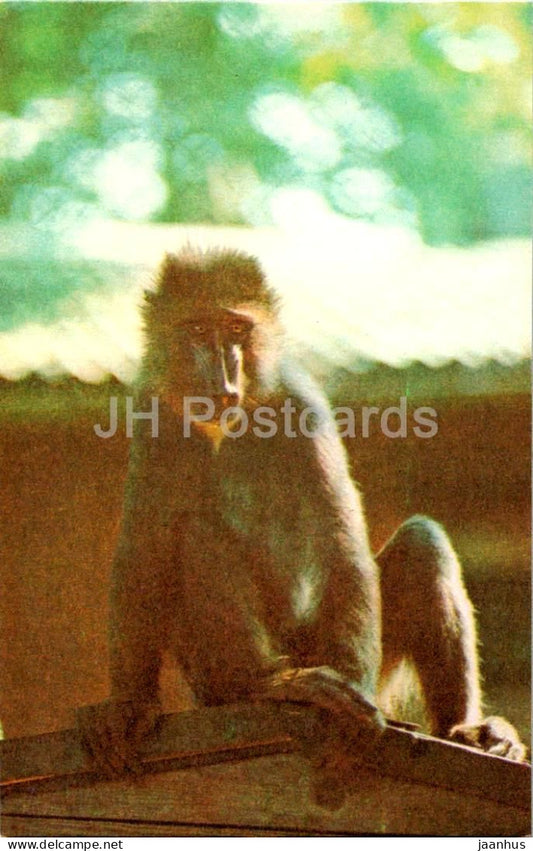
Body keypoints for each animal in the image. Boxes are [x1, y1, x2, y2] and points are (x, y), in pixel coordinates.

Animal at [78, 247, 526, 806]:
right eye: (198, 329)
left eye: (236, 330)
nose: (223, 371)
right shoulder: (152, 409)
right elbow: (145, 552)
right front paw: (128, 705)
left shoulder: (300, 401)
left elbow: (340, 542)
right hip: (215, 678)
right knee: (197, 535)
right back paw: (262, 684)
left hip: (328, 643)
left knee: (421, 545)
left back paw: (463, 729)